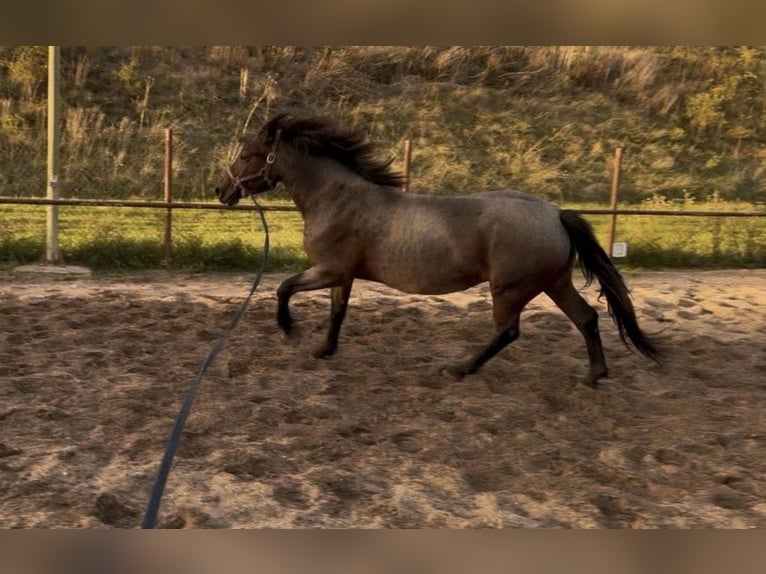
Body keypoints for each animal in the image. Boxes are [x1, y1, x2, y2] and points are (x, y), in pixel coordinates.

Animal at [215, 113, 661, 387]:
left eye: (246, 155)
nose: (221, 191)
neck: (337, 198)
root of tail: (554, 213)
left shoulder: (329, 269)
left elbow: (283, 288)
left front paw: (291, 330)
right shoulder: (343, 275)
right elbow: (337, 312)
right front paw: (323, 350)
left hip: (511, 289)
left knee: (508, 331)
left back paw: (460, 368)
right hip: (554, 282)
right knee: (586, 318)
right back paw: (594, 375)